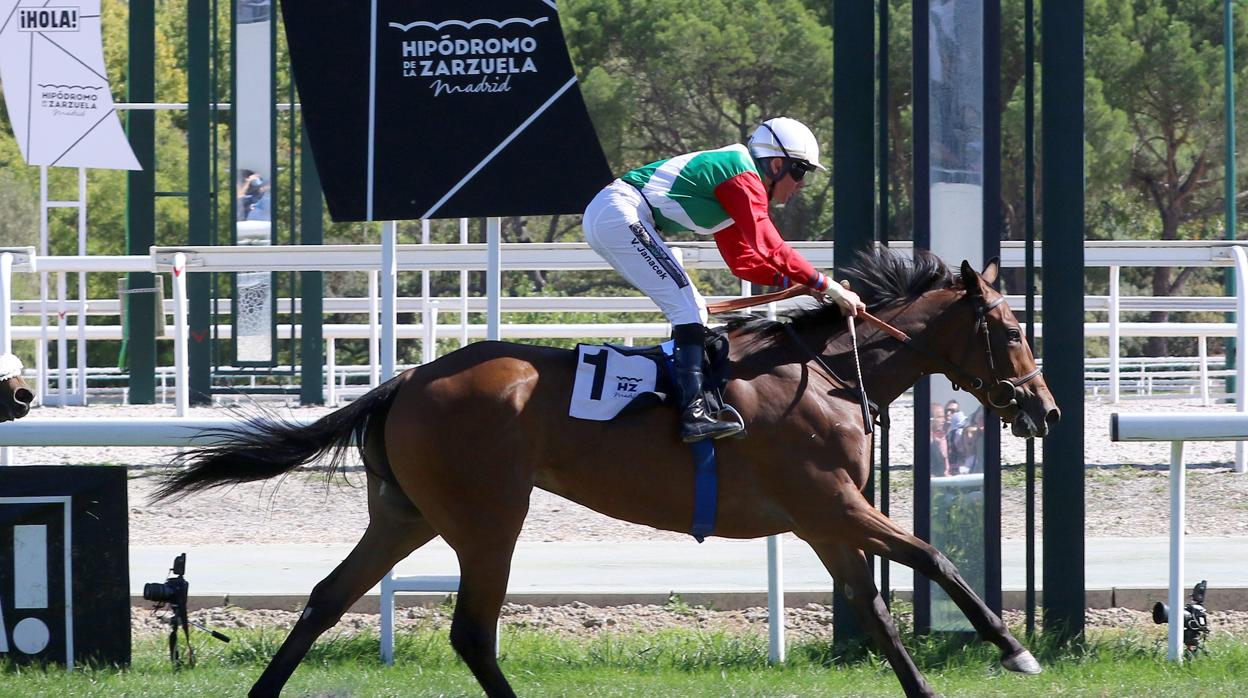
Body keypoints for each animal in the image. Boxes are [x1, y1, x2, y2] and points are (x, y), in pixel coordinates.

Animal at [151, 250, 1058, 698]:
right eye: (1012, 330)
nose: (1045, 410)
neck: (828, 371)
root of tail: (404, 379)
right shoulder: (830, 503)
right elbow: (932, 558)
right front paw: (1016, 650)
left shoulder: (825, 521)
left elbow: (875, 610)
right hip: (489, 517)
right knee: (470, 631)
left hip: (404, 515)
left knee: (326, 599)